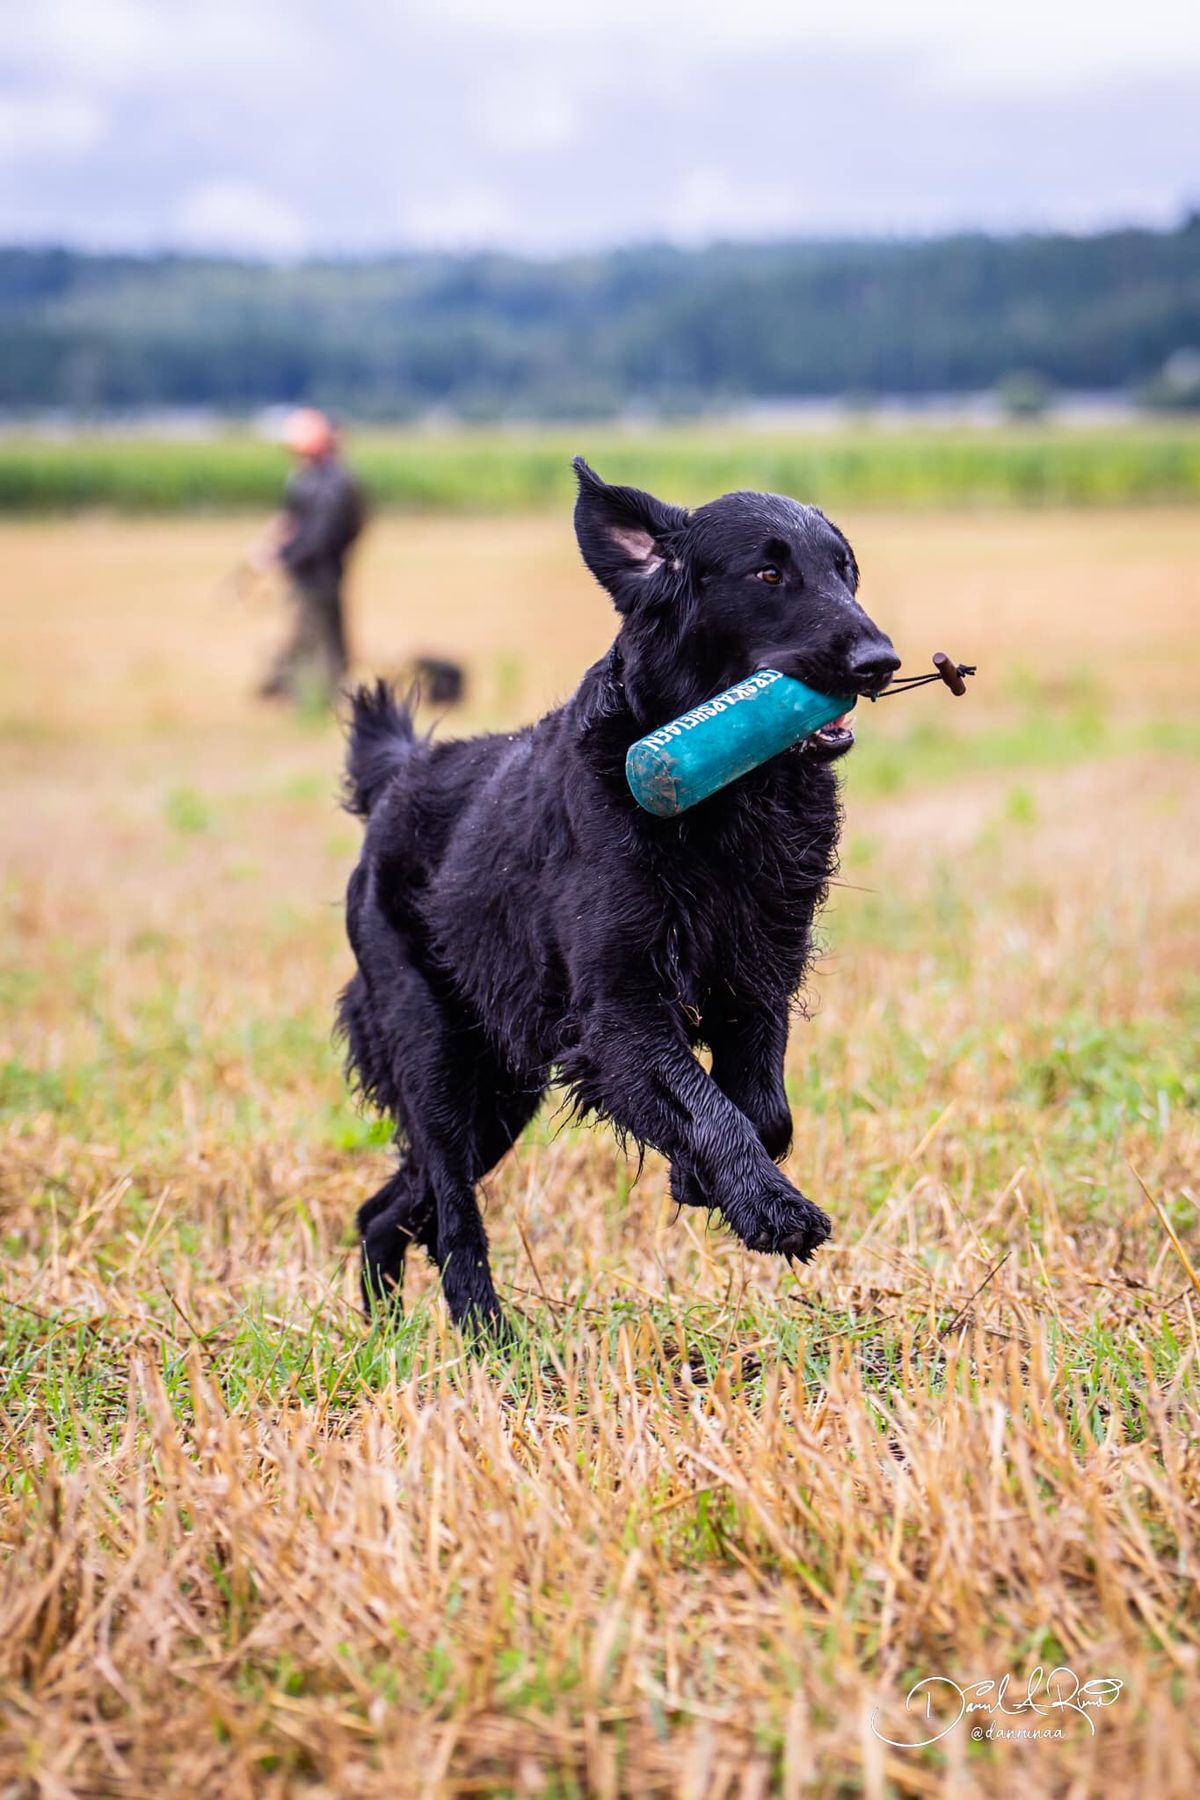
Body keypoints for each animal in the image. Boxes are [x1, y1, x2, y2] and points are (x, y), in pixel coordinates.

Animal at [332, 464, 895, 1339]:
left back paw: (388, 1333)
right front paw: (771, 1208)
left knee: (392, 1203)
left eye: (846, 570)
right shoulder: (619, 1008)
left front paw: (700, 1181)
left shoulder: (758, 980)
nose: (881, 659)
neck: (722, 808)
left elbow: (764, 1111)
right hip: (433, 1052)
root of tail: (398, 775)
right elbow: (709, 1106)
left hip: (502, 1090)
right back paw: (487, 1336)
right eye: (768, 575)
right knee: (452, 1209)